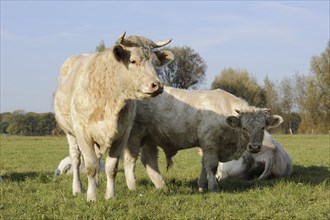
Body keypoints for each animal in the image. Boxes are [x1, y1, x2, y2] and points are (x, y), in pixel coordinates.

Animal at [52, 31, 174, 202]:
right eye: (133, 60)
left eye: (155, 63)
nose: (157, 85)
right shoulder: (83, 133)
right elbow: (90, 166)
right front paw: (91, 197)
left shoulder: (122, 135)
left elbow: (111, 167)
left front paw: (110, 195)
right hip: (70, 133)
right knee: (76, 159)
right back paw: (77, 188)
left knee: (97, 158)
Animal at [122, 86, 282, 192]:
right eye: (244, 128)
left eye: (263, 127)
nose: (254, 147)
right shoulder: (210, 143)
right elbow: (211, 165)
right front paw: (213, 187)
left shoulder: (206, 146)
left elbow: (204, 164)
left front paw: (201, 185)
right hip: (134, 134)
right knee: (130, 160)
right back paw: (133, 187)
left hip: (149, 137)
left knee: (150, 160)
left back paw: (162, 186)